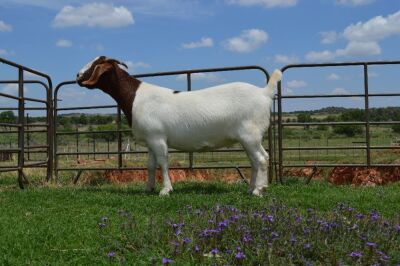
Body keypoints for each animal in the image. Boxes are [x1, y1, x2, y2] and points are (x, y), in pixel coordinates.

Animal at [77, 56, 282, 196]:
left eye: (95, 65)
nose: (77, 75)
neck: (136, 97)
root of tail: (264, 93)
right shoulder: (150, 140)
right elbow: (150, 165)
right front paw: (148, 188)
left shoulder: (158, 138)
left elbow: (163, 162)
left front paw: (165, 190)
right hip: (248, 138)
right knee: (255, 160)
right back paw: (251, 188)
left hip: (250, 135)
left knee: (261, 159)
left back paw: (258, 190)